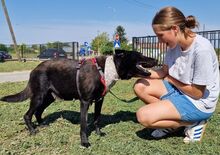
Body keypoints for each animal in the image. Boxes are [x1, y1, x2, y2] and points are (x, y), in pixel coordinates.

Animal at [0, 49, 157, 147]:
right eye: (140, 55)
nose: (156, 59)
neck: (106, 69)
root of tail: (34, 69)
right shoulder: (85, 102)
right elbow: (83, 125)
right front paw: (84, 142)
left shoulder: (99, 100)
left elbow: (97, 119)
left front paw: (98, 133)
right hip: (39, 96)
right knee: (27, 114)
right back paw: (32, 131)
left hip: (49, 97)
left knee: (38, 112)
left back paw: (42, 124)